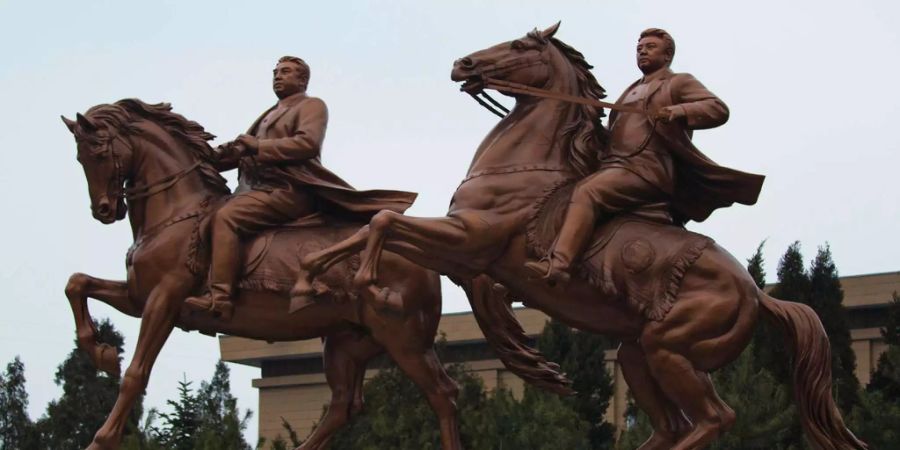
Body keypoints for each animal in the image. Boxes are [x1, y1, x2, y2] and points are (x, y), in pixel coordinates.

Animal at [61, 100, 464, 450]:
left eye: (98, 153)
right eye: (79, 158)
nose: (104, 210)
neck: (177, 212)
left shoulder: (165, 300)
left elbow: (135, 374)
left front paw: (100, 439)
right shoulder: (138, 297)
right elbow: (77, 283)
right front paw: (101, 353)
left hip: (403, 337)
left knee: (442, 394)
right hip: (346, 342)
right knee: (343, 405)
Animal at [294, 24, 864, 450]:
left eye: (519, 46)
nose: (463, 64)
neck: (525, 166)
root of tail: (757, 293)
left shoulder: (470, 241)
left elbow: (385, 223)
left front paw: (356, 281)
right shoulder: (467, 257)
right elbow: (381, 226)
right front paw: (309, 276)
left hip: (671, 349)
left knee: (714, 419)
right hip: (636, 354)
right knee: (670, 426)